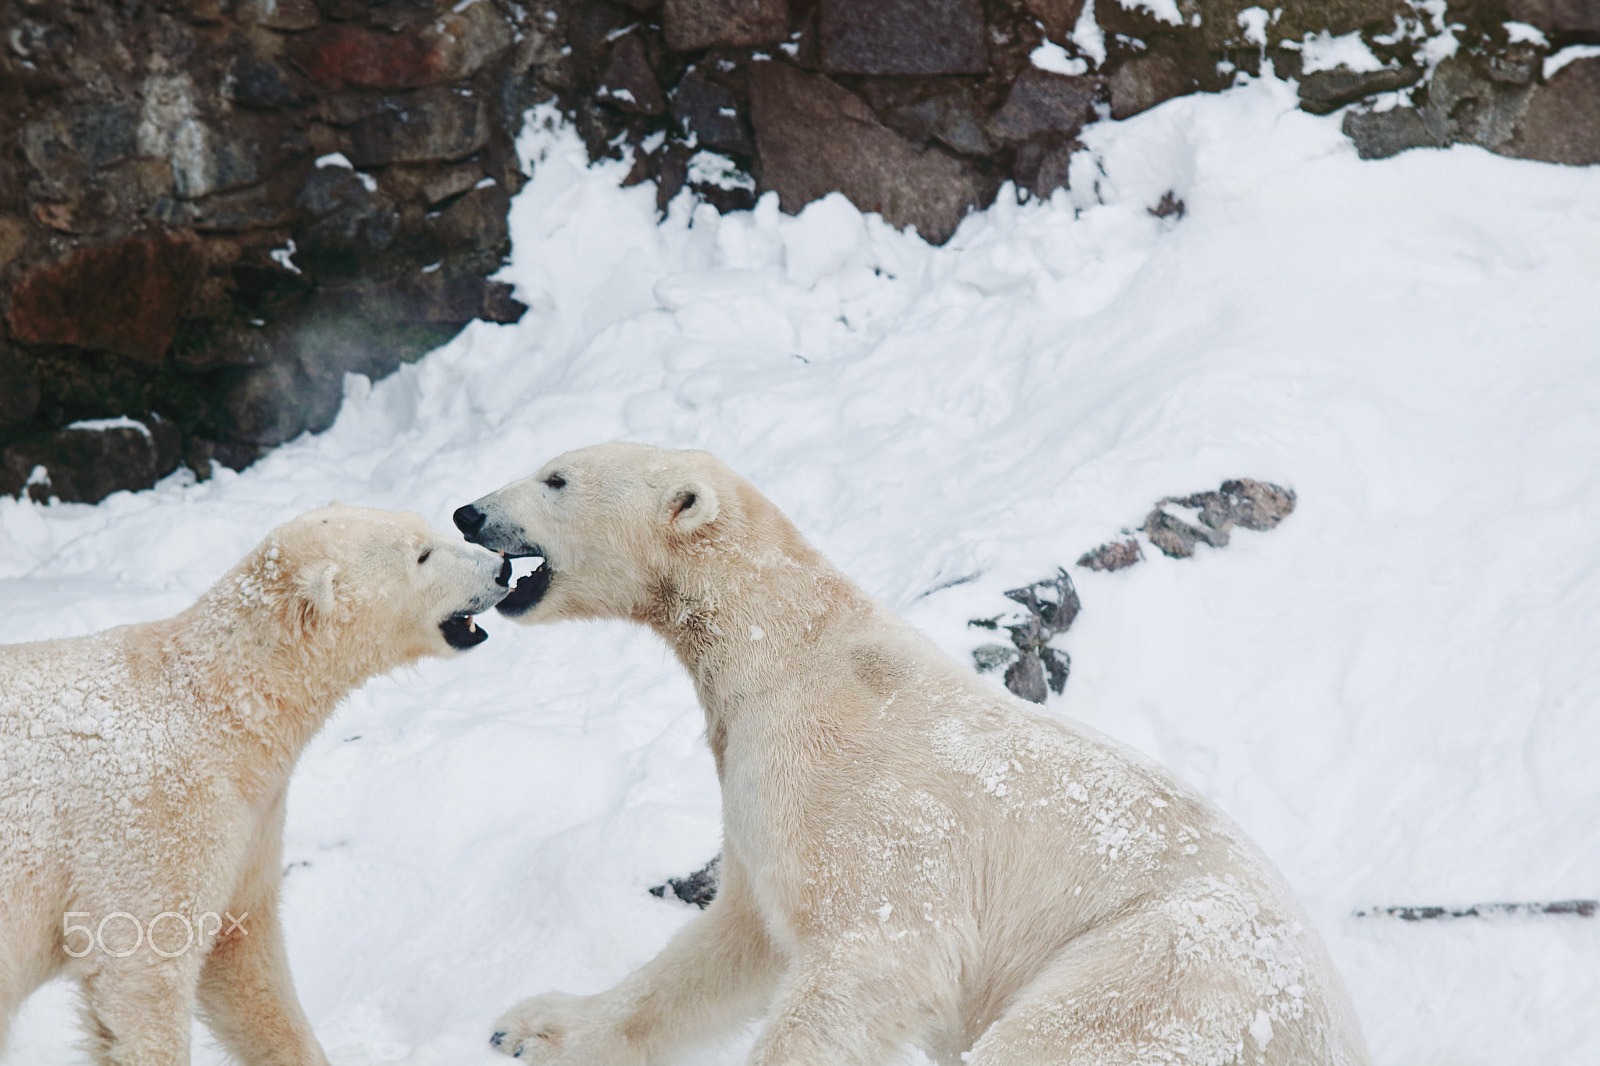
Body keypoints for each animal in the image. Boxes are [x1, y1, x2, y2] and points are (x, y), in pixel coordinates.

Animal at [0, 505, 510, 1064]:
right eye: (423, 554)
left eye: (432, 528)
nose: (503, 567)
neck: (216, 707)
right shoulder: (151, 820)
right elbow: (142, 968)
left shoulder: (253, 820)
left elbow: (243, 955)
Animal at [455, 442, 1371, 1066]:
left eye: (555, 478)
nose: (468, 512)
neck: (791, 651)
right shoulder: (757, 807)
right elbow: (731, 943)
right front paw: (535, 1025)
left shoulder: (857, 797)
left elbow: (872, 954)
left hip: (1161, 975)